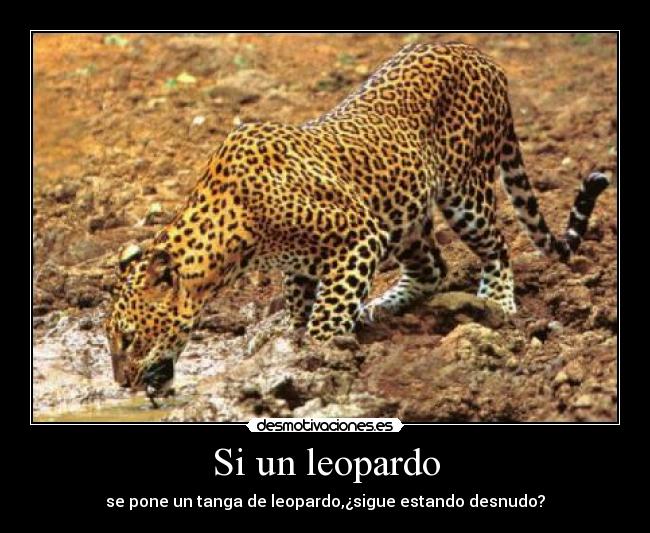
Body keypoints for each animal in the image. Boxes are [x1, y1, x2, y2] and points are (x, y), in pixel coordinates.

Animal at [105, 42, 609, 402]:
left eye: (128, 338)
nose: (123, 384)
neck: (230, 239)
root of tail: (478, 54)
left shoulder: (357, 235)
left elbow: (326, 314)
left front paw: (318, 355)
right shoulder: (303, 262)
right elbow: (300, 303)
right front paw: (292, 336)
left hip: (465, 192)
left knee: (498, 244)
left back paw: (497, 304)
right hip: (405, 214)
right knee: (433, 268)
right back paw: (381, 307)